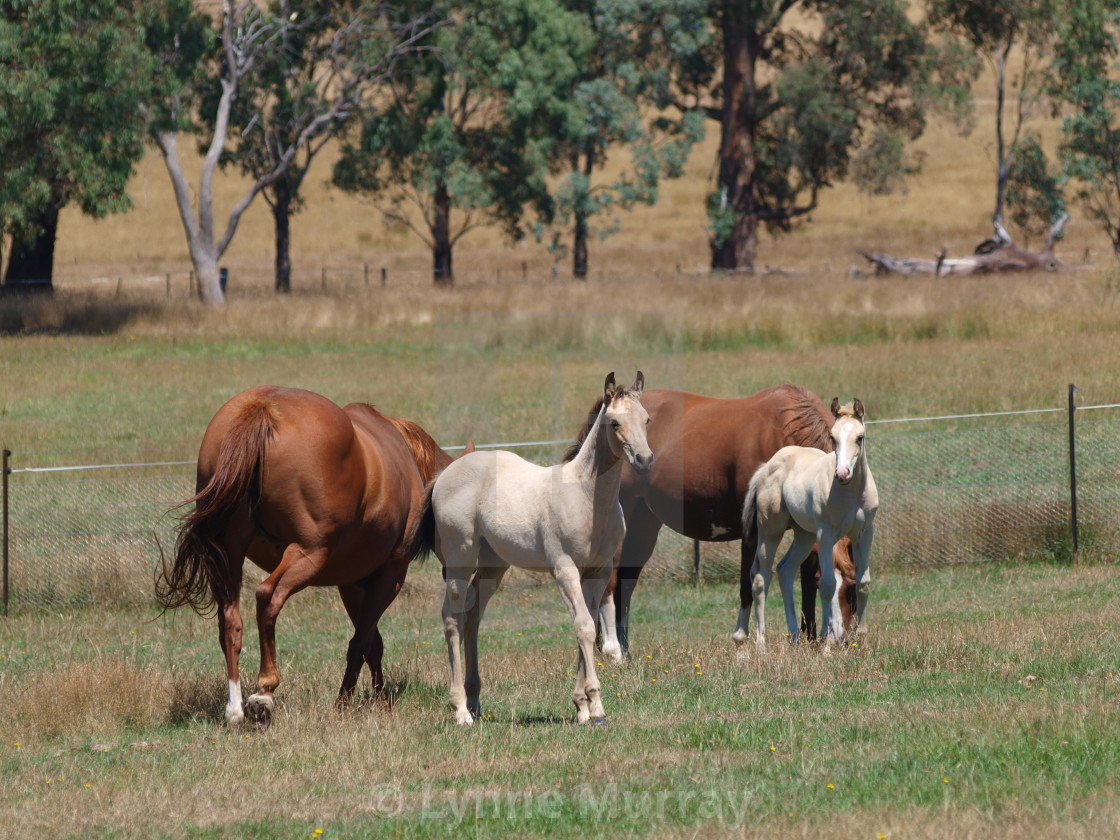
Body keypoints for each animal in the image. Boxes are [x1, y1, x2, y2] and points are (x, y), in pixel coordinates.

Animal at [157, 385, 454, 725]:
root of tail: (261, 409)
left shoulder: (351, 584)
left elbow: (371, 643)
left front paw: (377, 698)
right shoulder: (389, 576)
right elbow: (362, 642)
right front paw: (348, 703)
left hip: (229, 554)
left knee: (230, 621)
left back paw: (234, 708)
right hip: (308, 555)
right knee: (268, 597)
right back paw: (264, 692)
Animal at [421, 371, 654, 725]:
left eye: (646, 419)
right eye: (614, 422)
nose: (645, 460)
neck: (587, 497)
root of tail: (445, 473)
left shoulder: (598, 572)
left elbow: (586, 626)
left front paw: (581, 706)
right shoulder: (564, 570)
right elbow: (584, 627)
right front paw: (597, 708)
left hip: (493, 566)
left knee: (473, 616)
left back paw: (475, 701)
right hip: (460, 558)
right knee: (452, 617)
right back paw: (461, 710)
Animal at [595, 385, 855, 663]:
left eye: (853, 590)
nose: (844, 640)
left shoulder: (808, 529)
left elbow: (805, 577)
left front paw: (810, 638)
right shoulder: (752, 532)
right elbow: (748, 584)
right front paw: (742, 644)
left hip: (643, 527)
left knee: (626, 582)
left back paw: (622, 649)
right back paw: (608, 648)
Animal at [748, 398, 878, 645]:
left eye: (860, 437)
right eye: (833, 438)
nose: (843, 474)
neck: (850, 494)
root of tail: (766, 467)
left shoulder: (864, 533)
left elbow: (864, 583)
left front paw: (861, 638)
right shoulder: (825, 535)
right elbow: (827, 585)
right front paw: (827, 642)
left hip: (804, 536)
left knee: (785, 570)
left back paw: (795, 638)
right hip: (770, 530)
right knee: (761, 576)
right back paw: (761, 642)